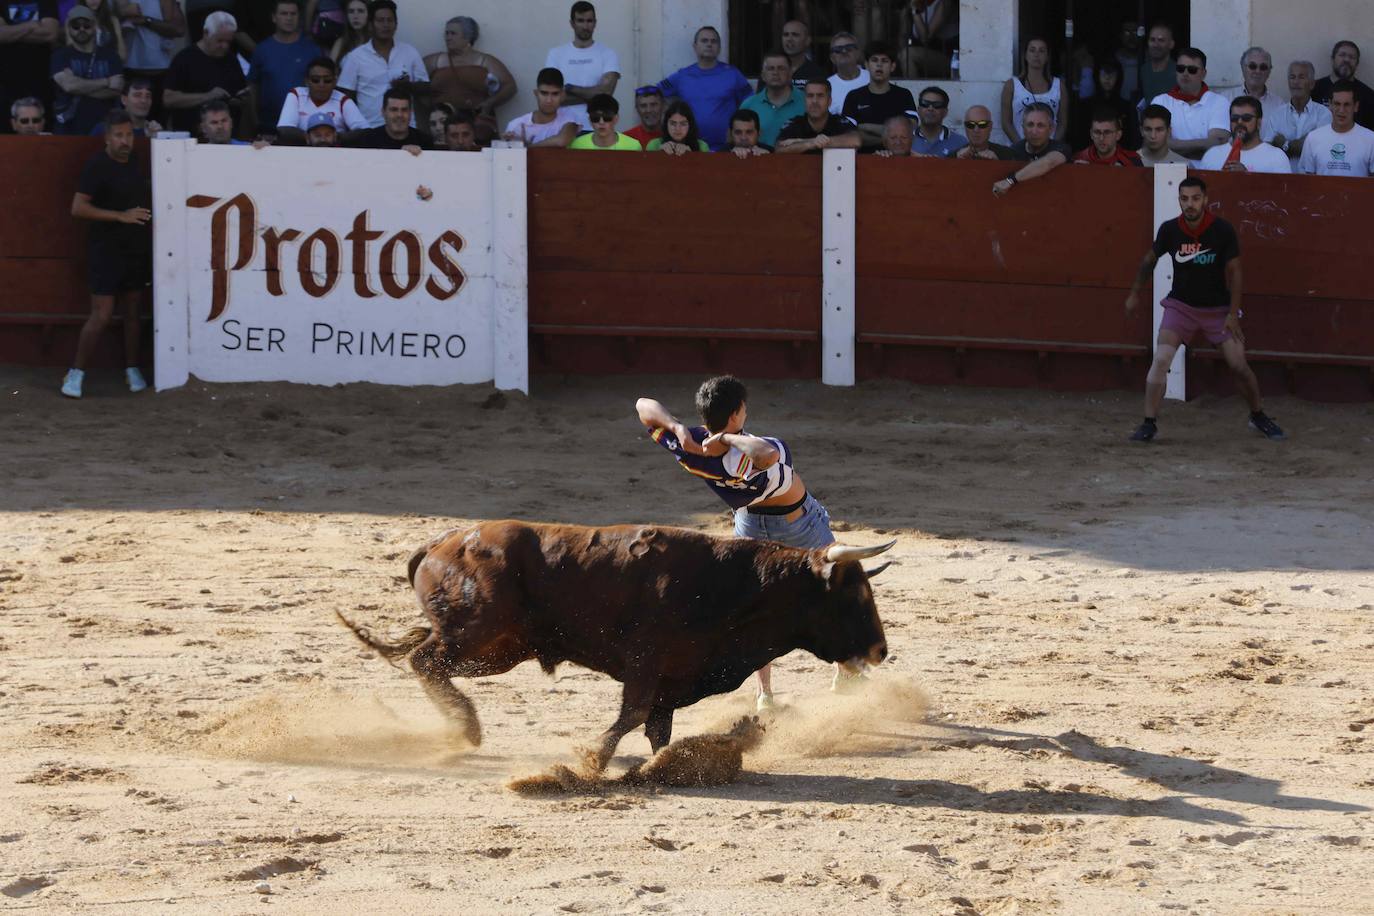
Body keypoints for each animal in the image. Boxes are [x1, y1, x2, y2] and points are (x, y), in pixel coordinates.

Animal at [332, 519, 890, 769]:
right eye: (854, 593)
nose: (881, 651)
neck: (736, 584)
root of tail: (444, 541)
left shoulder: (673, 678)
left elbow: (658, 729)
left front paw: (666, 766)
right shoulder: (646, 661)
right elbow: (634, 713)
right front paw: (595, 758)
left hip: (497, 647)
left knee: (425, 656)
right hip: (480, 636)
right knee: (425, 659)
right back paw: (465, 728)